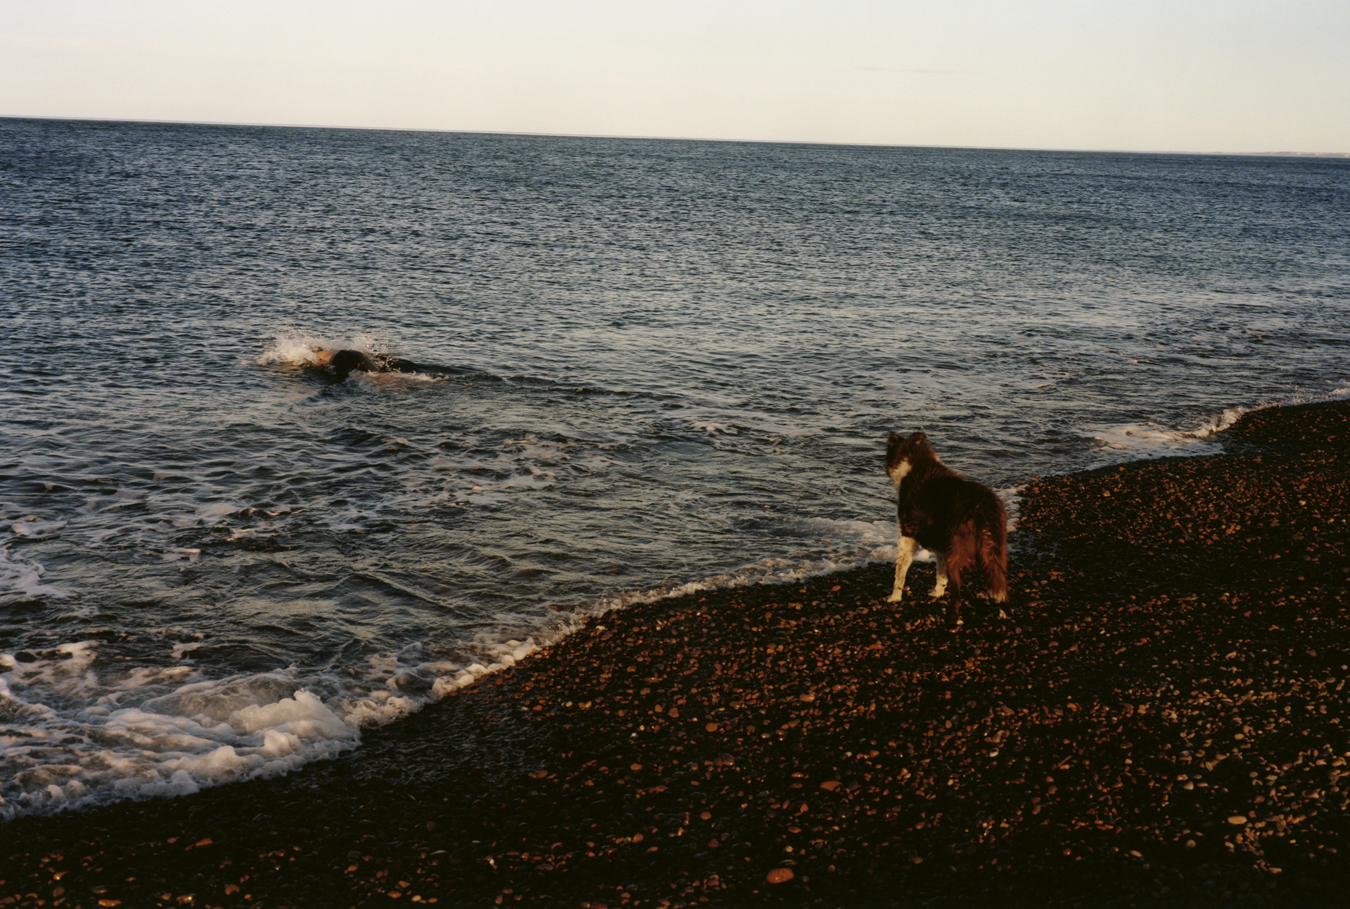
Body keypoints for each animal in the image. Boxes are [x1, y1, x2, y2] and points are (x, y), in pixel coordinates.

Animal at [880, 429, 1009, 615]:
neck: (917, 462)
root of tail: (982, 508)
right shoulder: (940, 545)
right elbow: (940, 575)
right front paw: (937, 593)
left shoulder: (907, 536)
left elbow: (900, 573)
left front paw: (894, 598)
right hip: (997, 552)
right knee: (1001, 587)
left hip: (956, 551)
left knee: (957, 594)